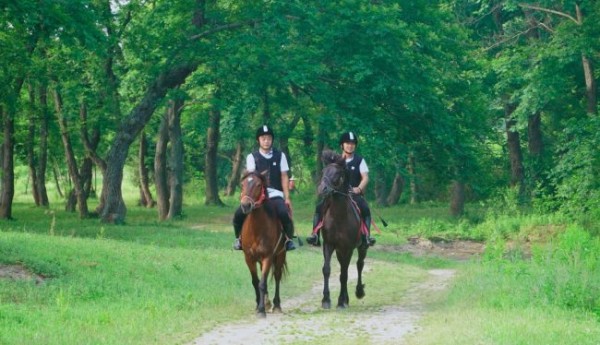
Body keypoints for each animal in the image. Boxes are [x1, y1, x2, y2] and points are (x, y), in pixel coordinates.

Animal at [238, 170, 288, 318]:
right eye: (242, 184)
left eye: (259, 185)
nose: (245, 205)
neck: (256, 229)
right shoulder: (249, 258)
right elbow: (256, 281)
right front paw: (258, 305)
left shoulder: (268, 257)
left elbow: (262, 283)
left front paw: (261, 310)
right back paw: (267, 302)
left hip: (281, 254)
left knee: (277, 276)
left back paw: (276, 305)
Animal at [316, 149, 368, 308]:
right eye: (323, 171)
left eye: (337, 174)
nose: (322, 189)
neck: (339, 217)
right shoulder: (329, 244)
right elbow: (327, 270)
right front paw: (326, 300)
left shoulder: (348, 247)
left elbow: (344, 274)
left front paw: (340, 301)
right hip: (339, 250)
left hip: (361, 247)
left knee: (359, 265)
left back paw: (357, 293)